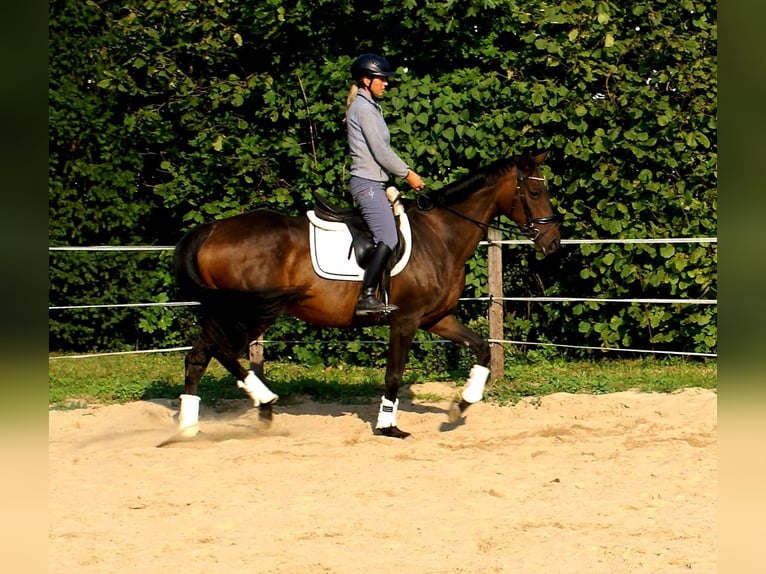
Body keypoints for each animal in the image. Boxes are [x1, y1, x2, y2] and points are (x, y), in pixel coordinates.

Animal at [172, 151, 560, 438]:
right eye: (535, 193)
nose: (553, 242)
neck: (440, 235)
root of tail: (212, 230)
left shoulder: (436, 318)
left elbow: (481, 348)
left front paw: (462, 404)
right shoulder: (405, 320)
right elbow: (394, 374)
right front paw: (388, 425)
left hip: (229, 311)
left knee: (199, 355)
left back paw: (190, 426)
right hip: (249, 312)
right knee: (219, 351)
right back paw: (263, 402)